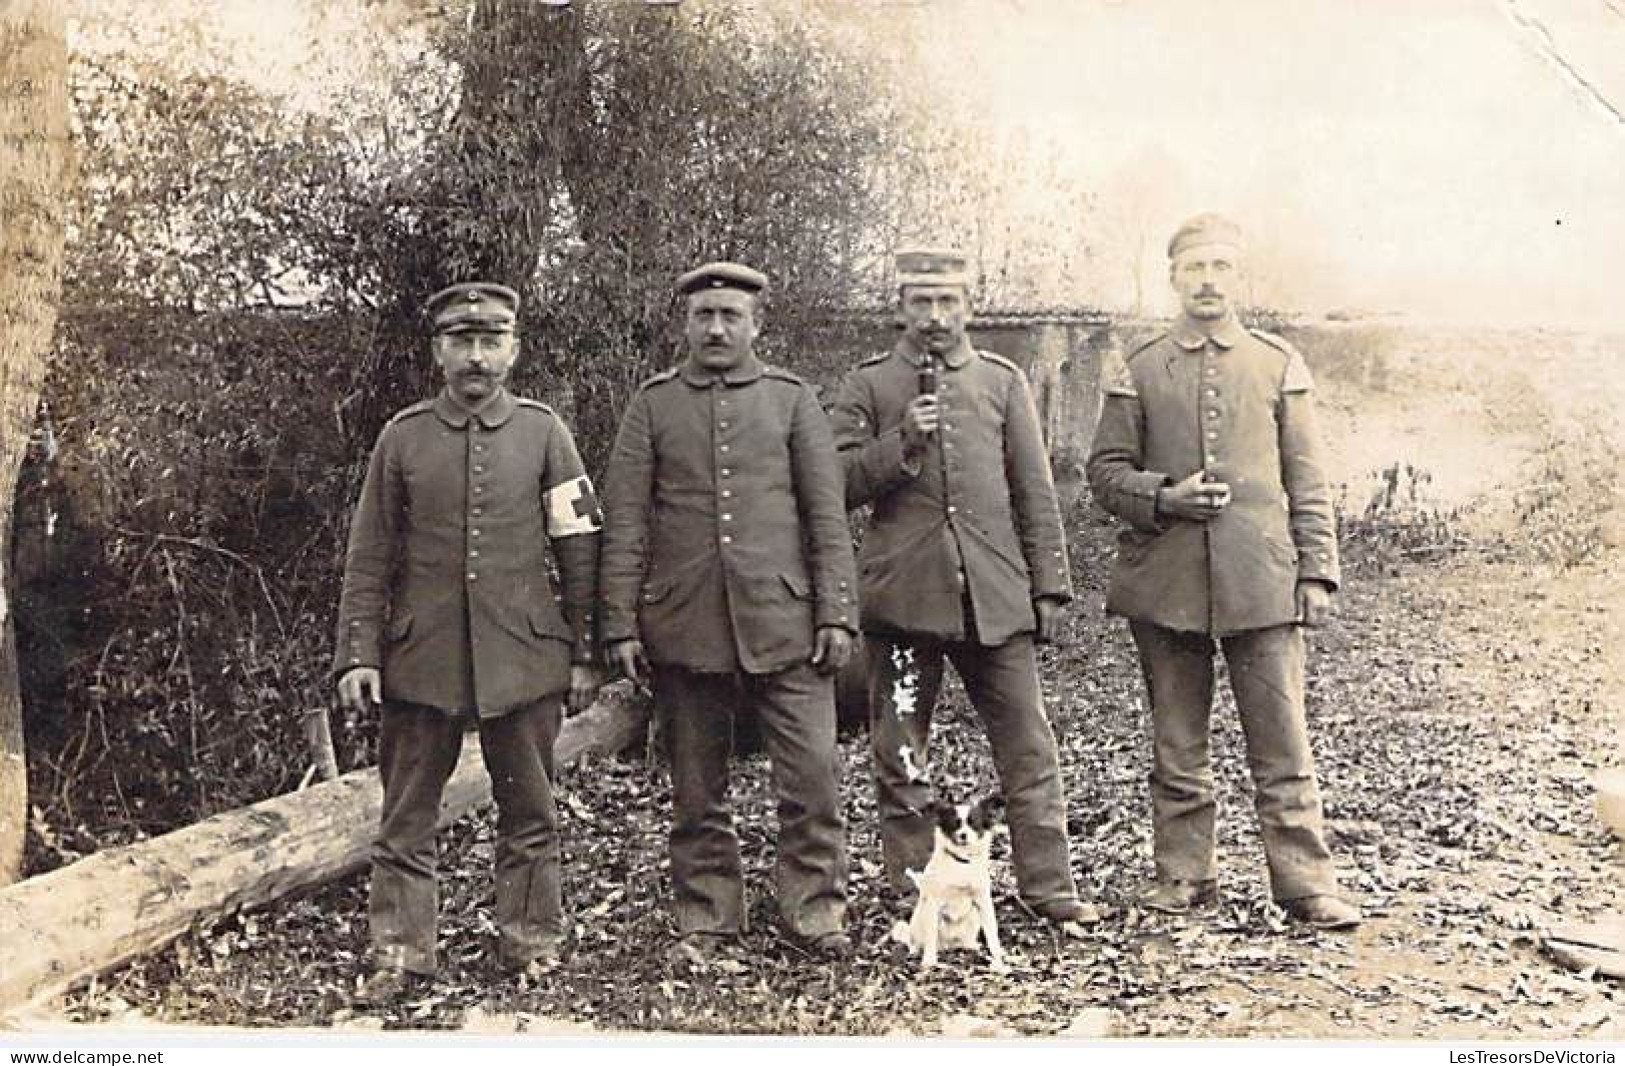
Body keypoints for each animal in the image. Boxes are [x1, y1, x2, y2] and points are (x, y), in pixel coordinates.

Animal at [890, 789, 1001, 975]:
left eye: (974, 824)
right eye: (955, 825)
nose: (963, 835)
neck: (962, 862)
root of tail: (947, 945)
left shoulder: (982, 901)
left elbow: (992, 932)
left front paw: (998, 958)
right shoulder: (933, 903)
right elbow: (930, 937)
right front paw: (928, 961)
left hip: (973, 918)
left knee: (965, 940)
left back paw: (970, 946)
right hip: (921, 917)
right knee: (917, 940)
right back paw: (916, 951)